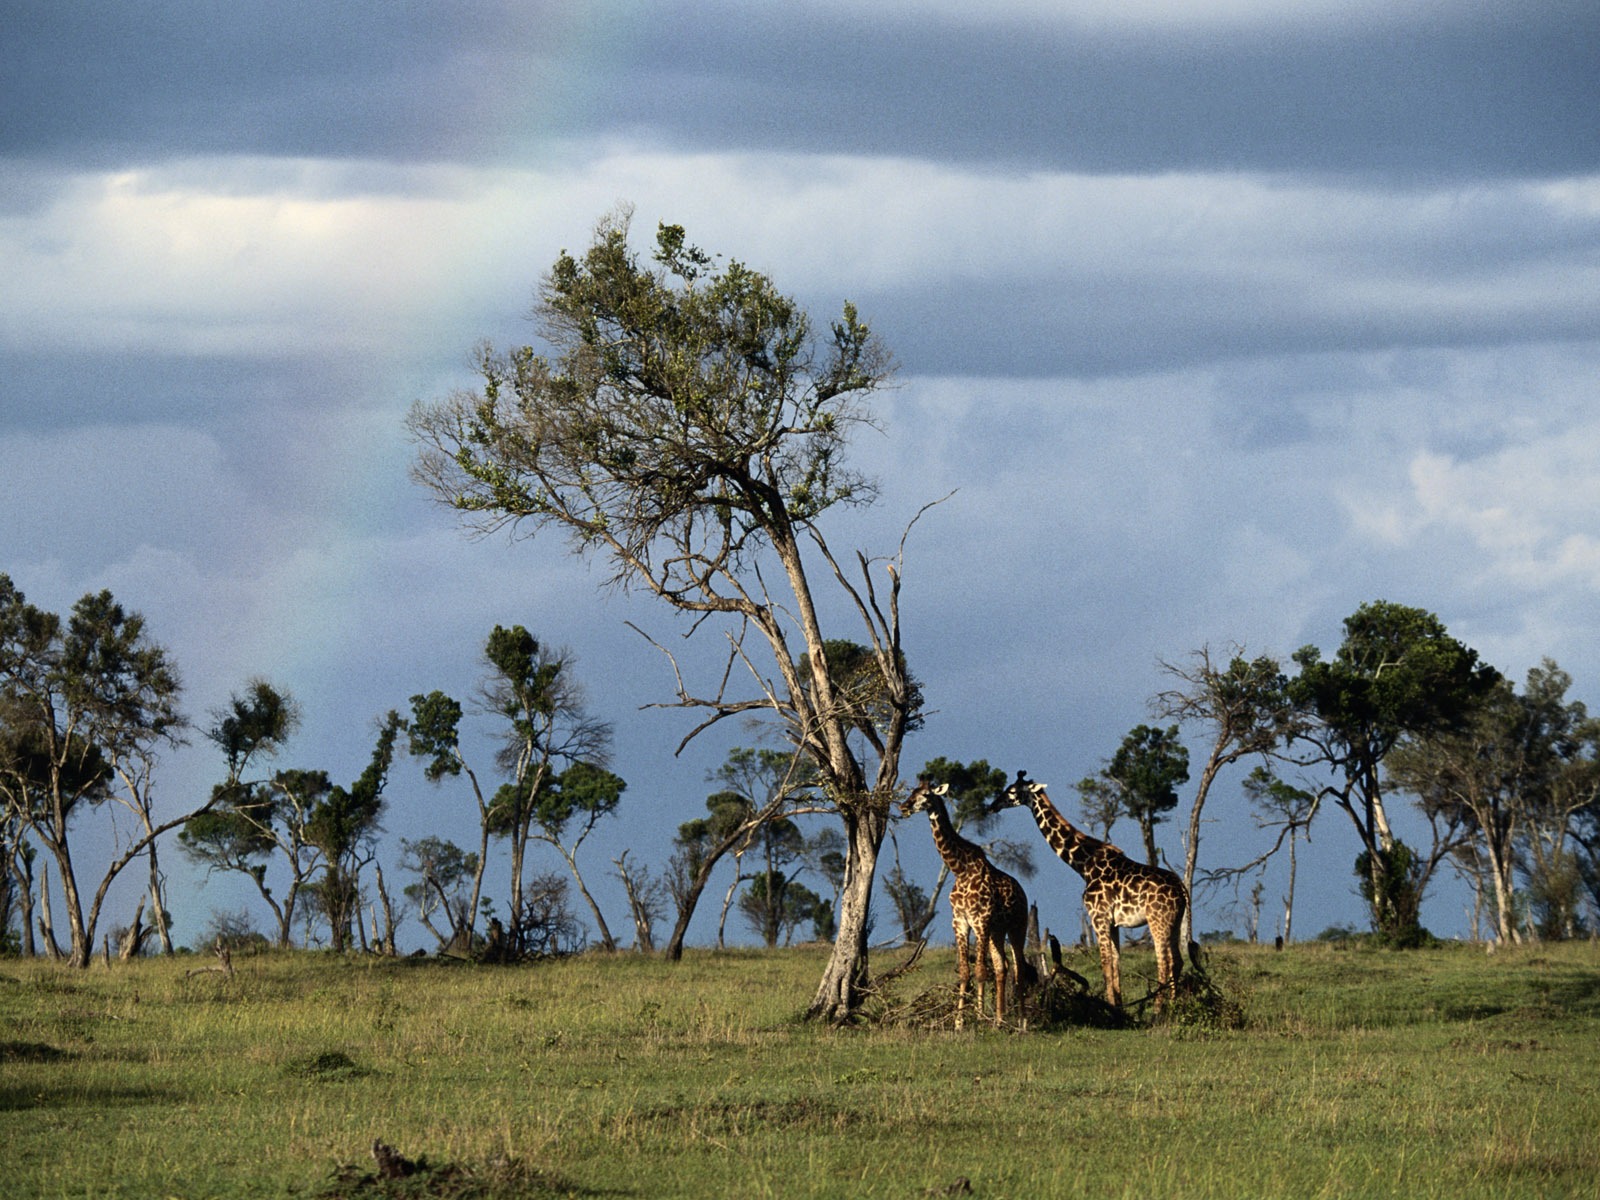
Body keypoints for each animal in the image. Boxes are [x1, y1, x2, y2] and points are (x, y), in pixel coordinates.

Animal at [902, 784, 1036, 1030]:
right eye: (912, 792)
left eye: (925, 795)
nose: (903, 807)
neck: (960, 869)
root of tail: (1022, 891)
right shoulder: (960, 921)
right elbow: (965, 971)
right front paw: (959, 1021)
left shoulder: (980, 920)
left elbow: (981, 970)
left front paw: (980, 1017)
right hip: (996, 931)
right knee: (1002, 966)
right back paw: (1000, 1019)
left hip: (1017, 926)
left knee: (1019, 967)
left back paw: (1021, 1021)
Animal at [992, 774, 1196, 1011]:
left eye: (1012, 791)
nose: (993, 805)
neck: (1084, 865)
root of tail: (1182, 890)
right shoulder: (1114, 923)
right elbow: (1116, 963)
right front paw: (1118, 1006)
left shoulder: (1098, 916)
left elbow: (1105, 962)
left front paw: (1111, 1006)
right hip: (1175, 921)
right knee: (1177, 960)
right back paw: (1173, 1006)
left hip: (1158, 921)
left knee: (1164, 961)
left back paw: (1158, 1010)